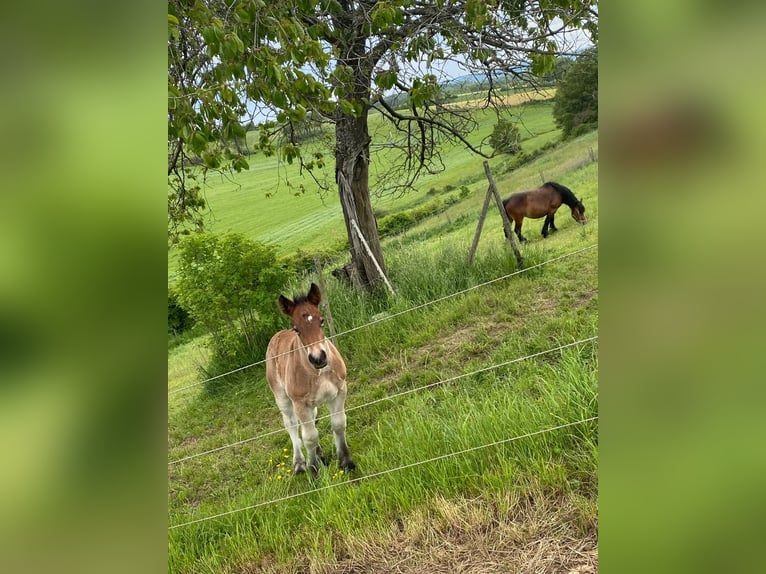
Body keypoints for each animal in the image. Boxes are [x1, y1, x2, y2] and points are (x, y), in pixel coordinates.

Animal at [268, 284, 356, 476]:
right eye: (296, 329)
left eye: (321, 321)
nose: (318, 358)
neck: (319, 372)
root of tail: (277, 335)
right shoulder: (300, 403)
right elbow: (309, 436)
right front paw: (313, 469)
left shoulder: (340, 391)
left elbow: (338, 424)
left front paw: (346, 462)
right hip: (283, 398)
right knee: (292, 425)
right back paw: (300, 463)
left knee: (312, 420)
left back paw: (319, 454)